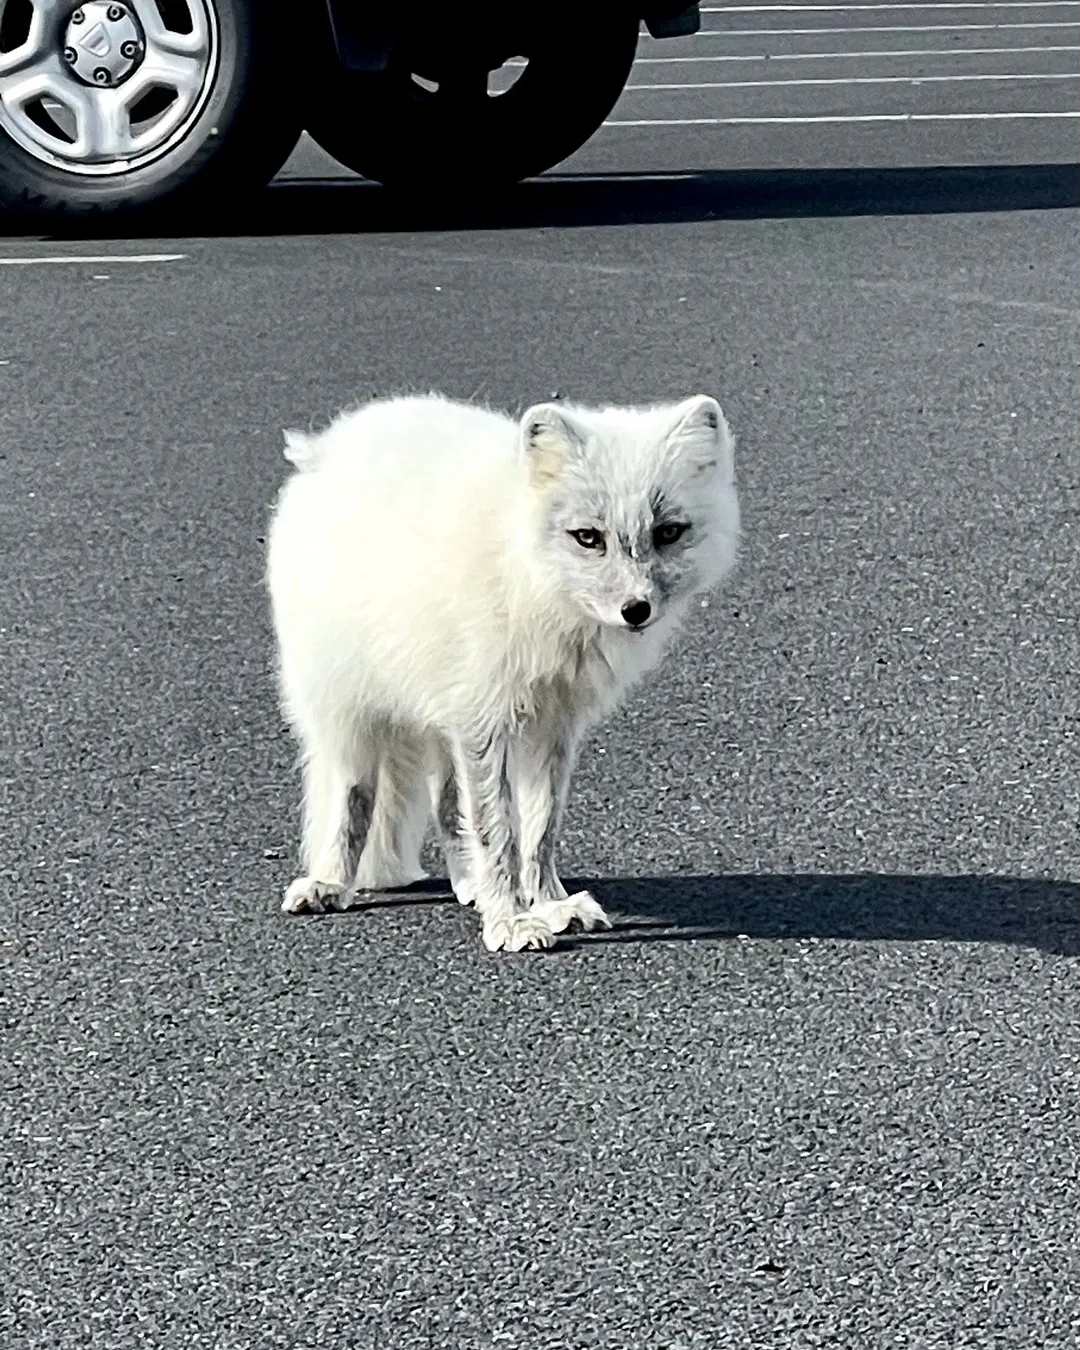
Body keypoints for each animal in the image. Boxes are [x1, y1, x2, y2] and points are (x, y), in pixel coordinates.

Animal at [267, 394, 745, 955]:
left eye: (668, 532)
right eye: (588, 538)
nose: (636, 610)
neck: (531, 579)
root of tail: (328, 443)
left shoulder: (551, 724)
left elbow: (538, 829)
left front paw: (549, 904)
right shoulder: (483, 722)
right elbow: (498, 831)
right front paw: (512, 920)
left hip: (439, 720)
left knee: (446, 805)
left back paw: (468, 883)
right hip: (351, 715)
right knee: (355, 800)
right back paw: (328, 882)